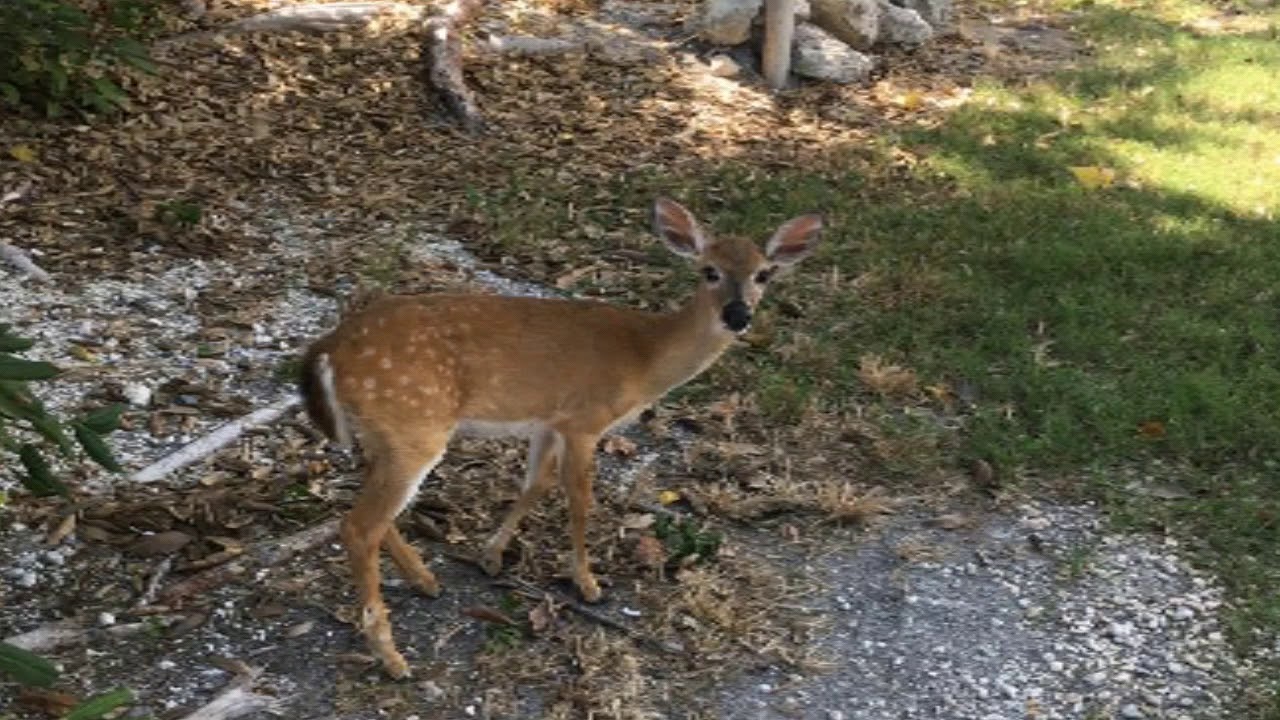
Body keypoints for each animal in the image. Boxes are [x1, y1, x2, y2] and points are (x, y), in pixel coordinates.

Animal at [297, 197, 823, 678]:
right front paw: (587, 582)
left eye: (765, 274)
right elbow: (580, 498)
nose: (738, 315)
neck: (645, 358)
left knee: (371, 512)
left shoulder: (548, 421)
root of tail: (327, 349)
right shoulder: (585, 420)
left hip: (385, 433)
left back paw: (425, 580)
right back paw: (392, 657)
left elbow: (537, 484)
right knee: (359, 525)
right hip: (415, 425)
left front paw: (491, 555)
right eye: (709, 271)